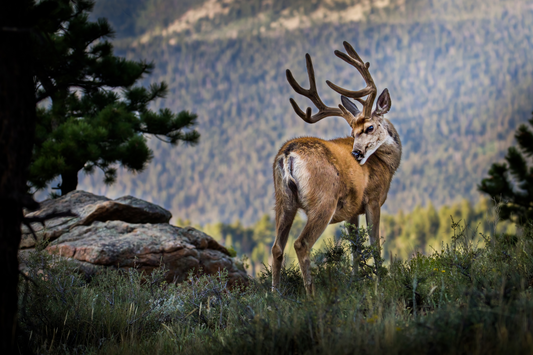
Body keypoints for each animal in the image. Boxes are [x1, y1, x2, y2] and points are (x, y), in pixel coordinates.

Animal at [272, 41, 402, 296]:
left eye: (369, 127)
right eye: (353, 132)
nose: (357, 153)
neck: (385, 164)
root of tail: (288, 154)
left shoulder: (352, 210)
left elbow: (355, 248)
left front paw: (356, 281)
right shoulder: (373, 199)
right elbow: (374, 244)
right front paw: (380, 284)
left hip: (283, 200)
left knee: (276, 248)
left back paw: (274, 296)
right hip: (323, 200)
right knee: (301, 244)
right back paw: (312, 296)